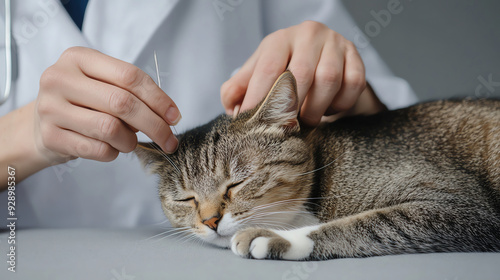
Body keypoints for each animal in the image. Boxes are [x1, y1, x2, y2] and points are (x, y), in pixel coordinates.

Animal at [134, 70, 500, 260]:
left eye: (237, 182)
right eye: (186, 199)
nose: (210, 221)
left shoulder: (461, 206)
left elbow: (364, 223)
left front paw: (274, 238)